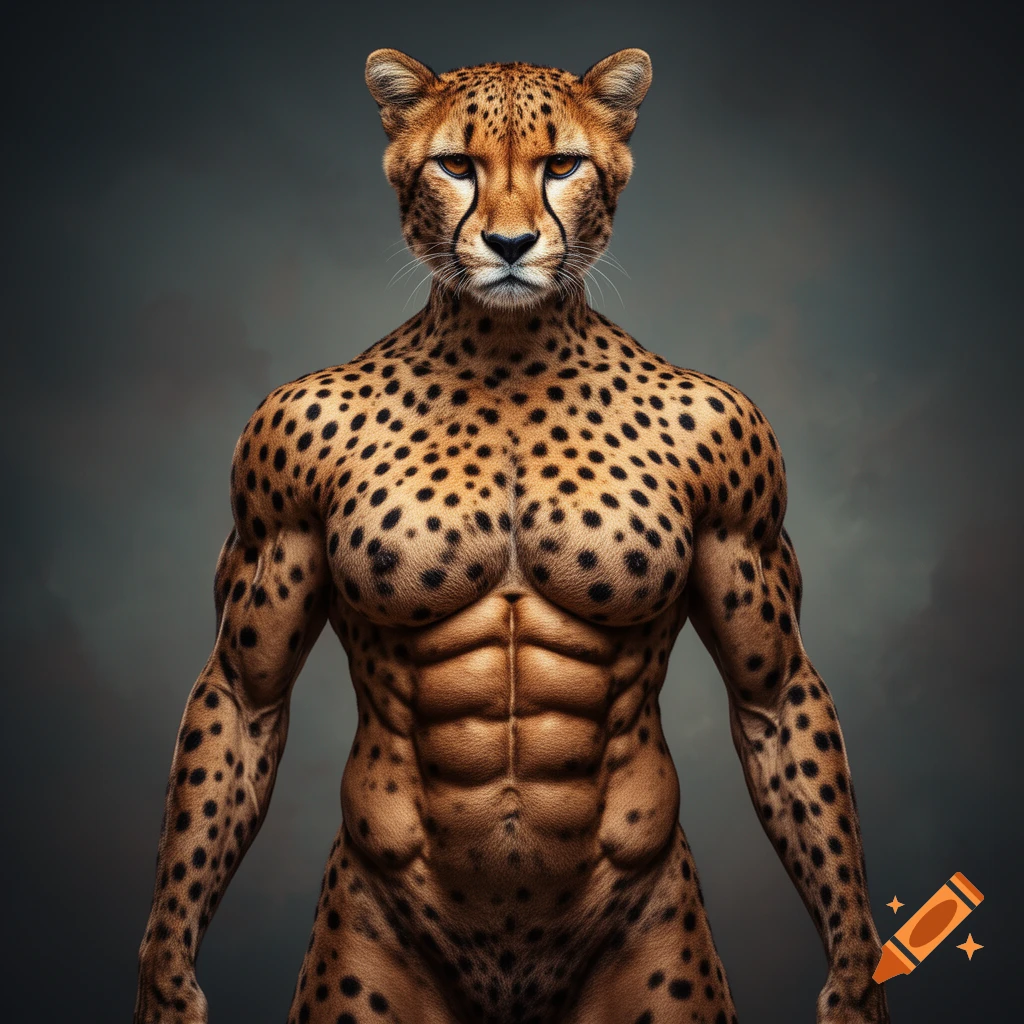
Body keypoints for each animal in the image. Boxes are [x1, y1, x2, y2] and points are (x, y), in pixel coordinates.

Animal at [134, 47, 890, 1024]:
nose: (509, 244)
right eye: (457, 166)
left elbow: (771, 690)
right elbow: (247, 689)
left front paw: (856, 975)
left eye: (560, 165)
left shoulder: (740, 466)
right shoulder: (276, 469)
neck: (507, 351)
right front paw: (166, 976)